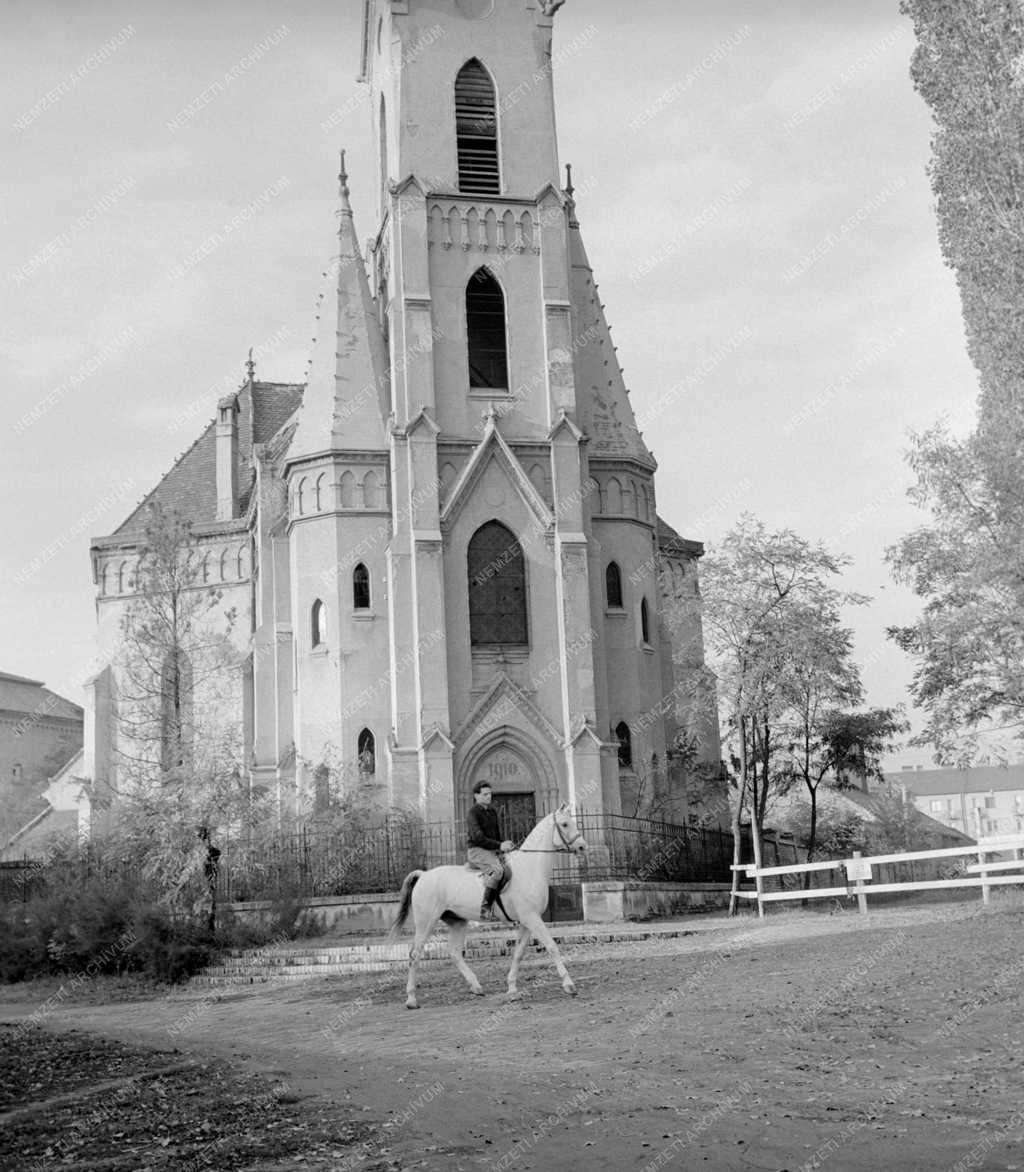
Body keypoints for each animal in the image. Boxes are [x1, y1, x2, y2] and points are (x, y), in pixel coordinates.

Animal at [388, 806, 583, 1007]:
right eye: (564, 824)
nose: (582, 847)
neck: (529, 867)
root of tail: (424, 875)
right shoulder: (532, 918)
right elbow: (551, 946)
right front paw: (569, 985)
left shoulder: (527, 921)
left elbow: (519, 953)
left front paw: (512, 989)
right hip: (426, 923)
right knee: (415, 954)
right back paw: (411, 999)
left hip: (457, 922)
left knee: (455, 953)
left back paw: (476, 986)